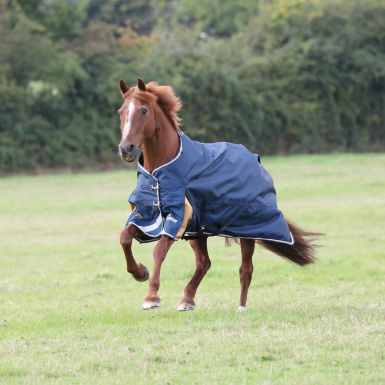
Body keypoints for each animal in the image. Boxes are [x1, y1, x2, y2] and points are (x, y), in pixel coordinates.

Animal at [117, 78, 320, 312]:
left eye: (143, 110)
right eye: (121, 111)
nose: (126, 149)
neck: (161, 170)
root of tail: (254, 159)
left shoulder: (177, 217)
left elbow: (159, 250)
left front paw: (152, 296)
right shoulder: (148, 216)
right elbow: (125, 237)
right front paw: (140, 272)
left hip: (247, 229)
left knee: (245, 269)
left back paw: (240, 307)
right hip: (198, 231)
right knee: (204, 263)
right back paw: (187, 300)